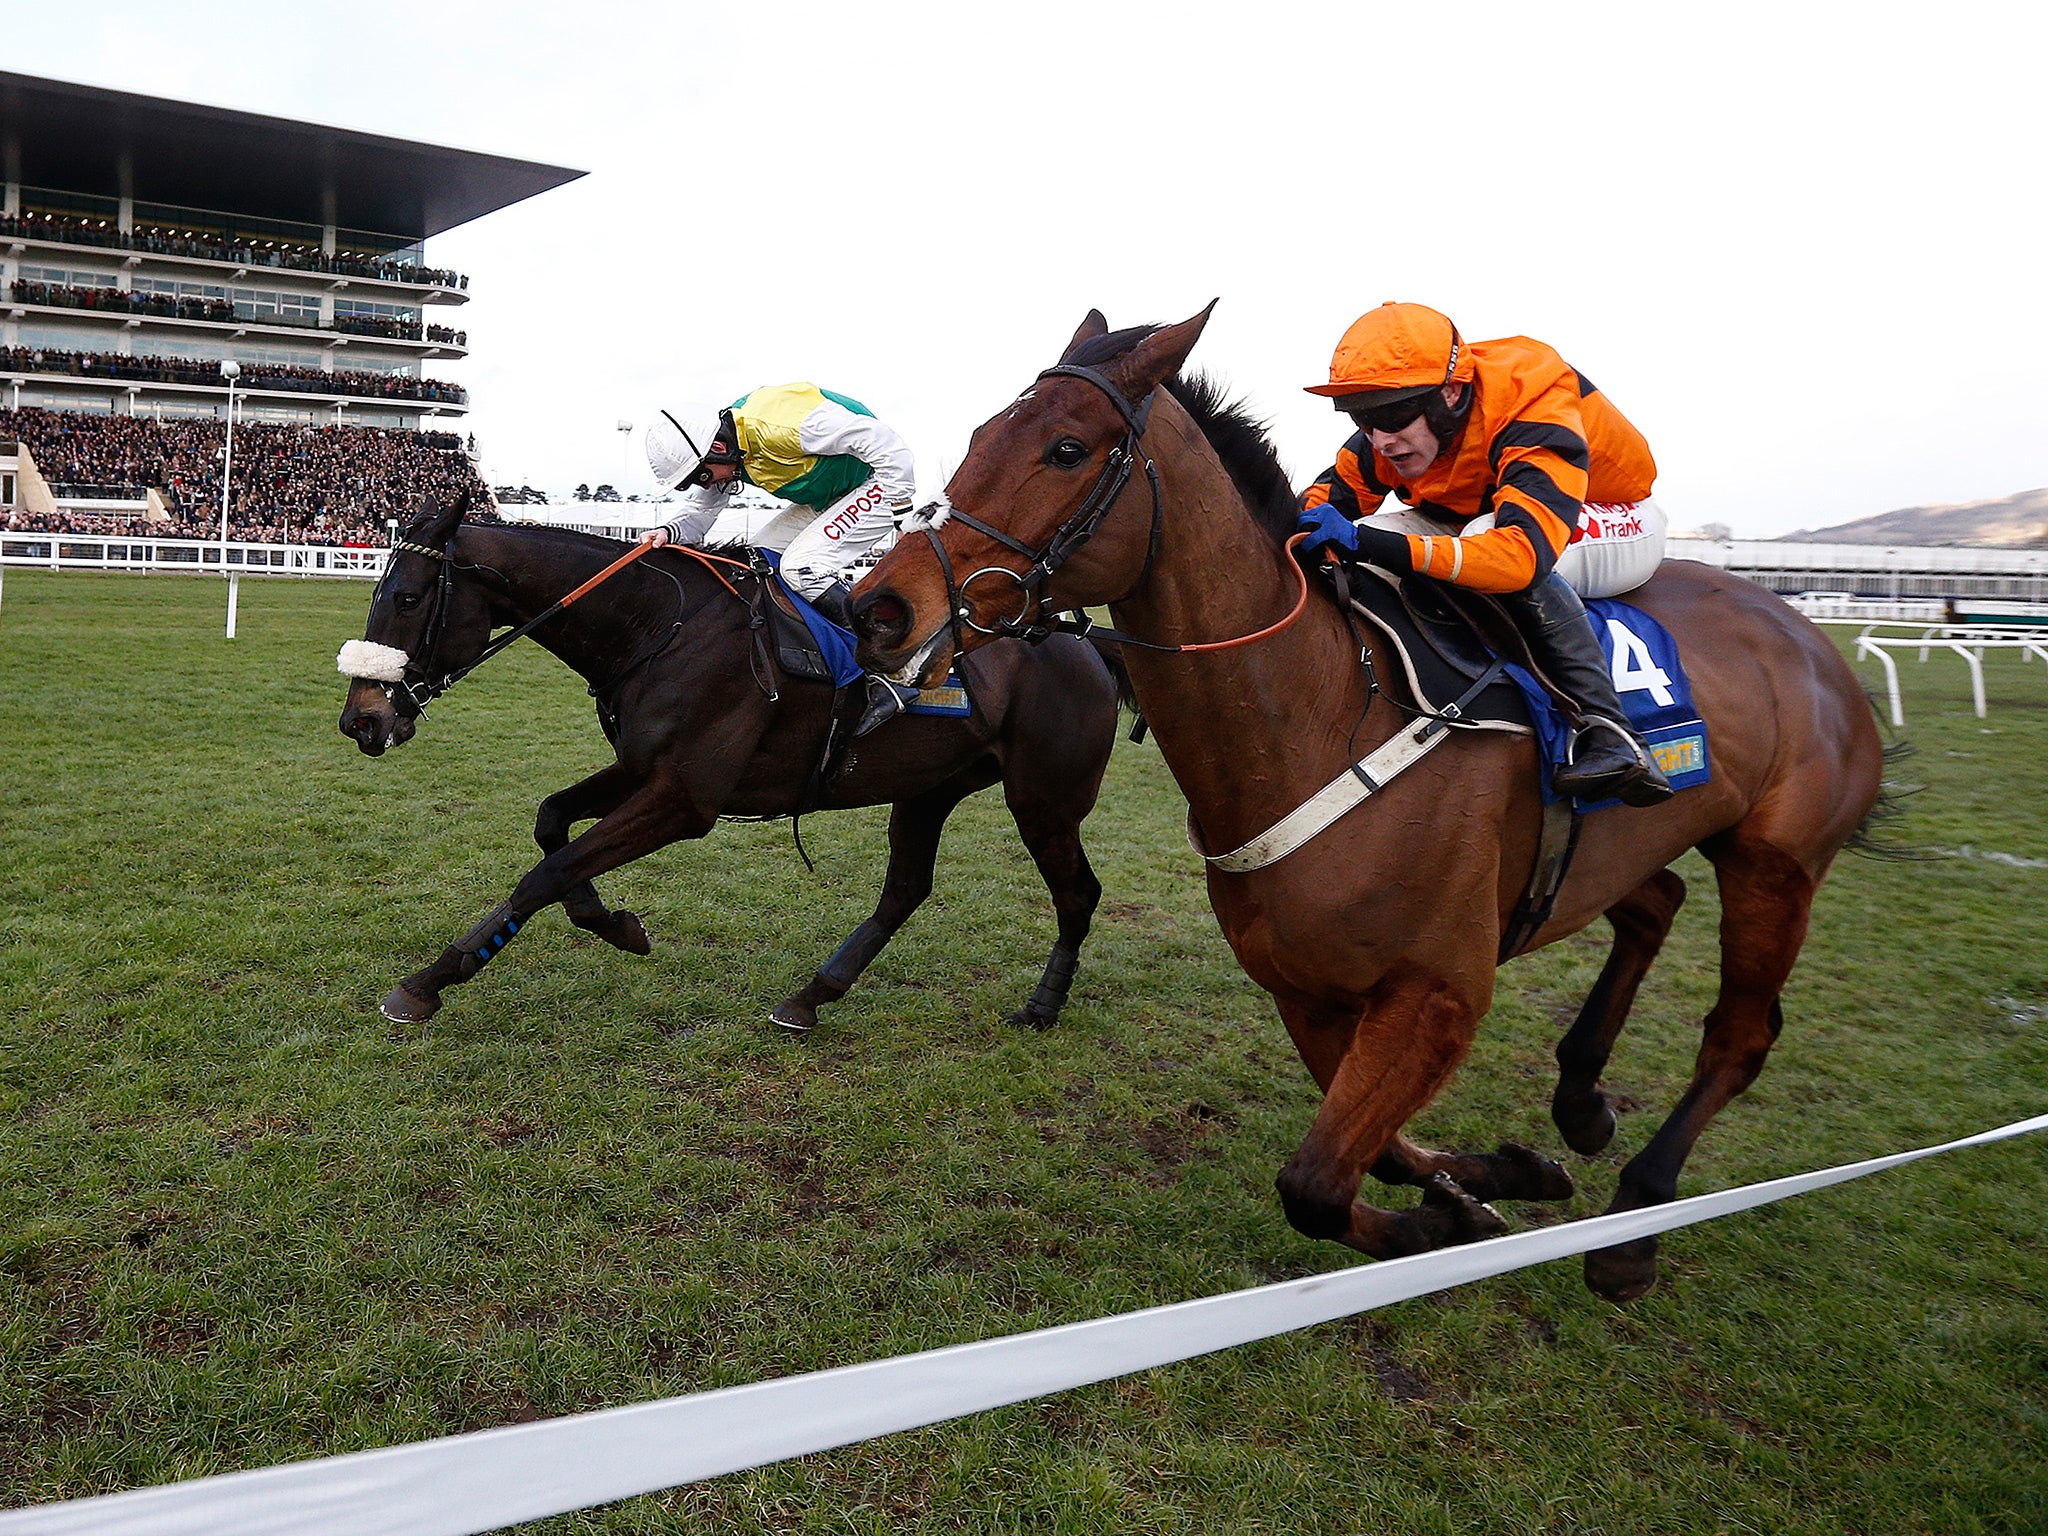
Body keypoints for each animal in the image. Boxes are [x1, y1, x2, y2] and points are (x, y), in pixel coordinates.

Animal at [335, 501, 1122, 1036]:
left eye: (406, 598)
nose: (361, 721)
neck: (660, 626)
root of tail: (1082, 640)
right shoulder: (643, 769)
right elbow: (552, 823)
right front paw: (612, 921)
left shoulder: (686, 800)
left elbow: (546, 872)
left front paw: (430, 981)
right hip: (928, 790)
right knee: (905, 891)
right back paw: (810, 998)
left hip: (1044, 798)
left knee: (1079, 892)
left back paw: (1043, 1005)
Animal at [851, 309, 1884, 1302]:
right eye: (980, 434)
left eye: (1066, 449)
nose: (880, 609)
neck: (1318, 719)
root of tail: (1805, 637)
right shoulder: (1305, 989)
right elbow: (1376, 1156)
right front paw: (1490, 1184)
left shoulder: (1438, 991)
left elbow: (1314, 1184)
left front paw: (1451, 1221)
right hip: (1617, 847)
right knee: (1656, 905)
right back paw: (1582, 1100)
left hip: (1774, 864)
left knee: (1740, 1036)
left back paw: (1633, 1226)